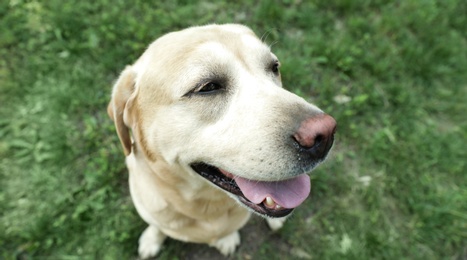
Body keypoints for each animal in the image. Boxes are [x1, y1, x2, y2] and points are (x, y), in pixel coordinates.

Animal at [109, 23, 336, 258]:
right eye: (208, 87)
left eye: (274, 67)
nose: (325, 134)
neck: (205, 206)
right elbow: (157, 226)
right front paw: (152, 239)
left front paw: (226, 238)